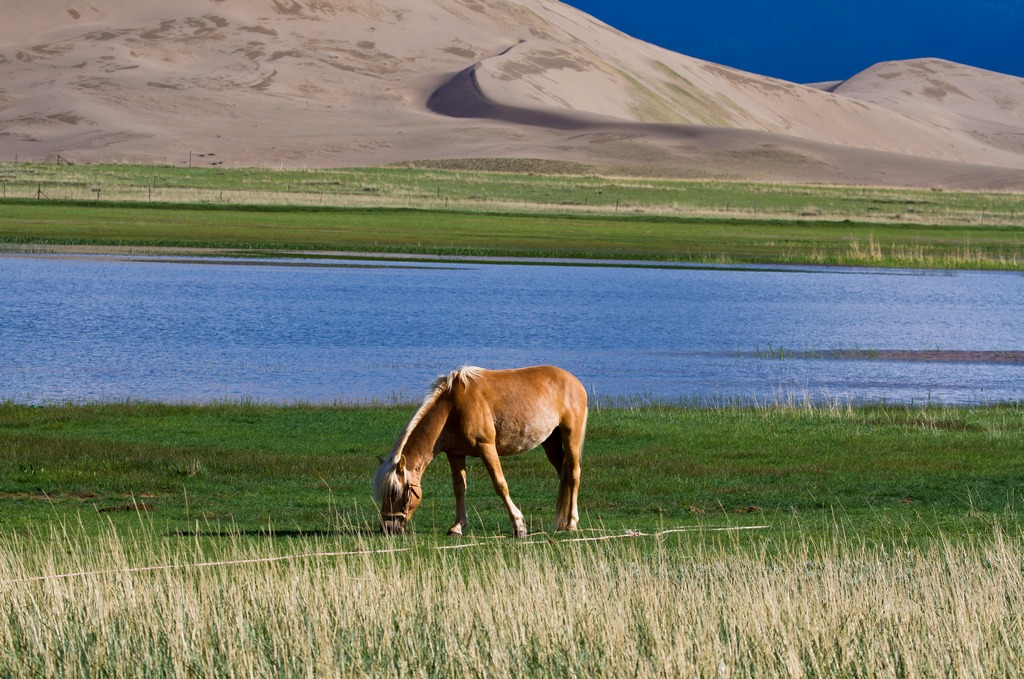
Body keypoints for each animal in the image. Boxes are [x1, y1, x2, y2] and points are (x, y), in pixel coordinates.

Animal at [374, 364, 585, 540]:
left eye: (395, 492)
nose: (387, 528)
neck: (452, 408)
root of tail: (574, 382)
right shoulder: (455, 454)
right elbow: (459, 488)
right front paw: (457, 527)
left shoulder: (486, 447)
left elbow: (500, 485)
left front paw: (518, 526)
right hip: (551, 444)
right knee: (564, 476)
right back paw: (562, 523)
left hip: (571, 438)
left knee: (574, 476)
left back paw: (572, 523)